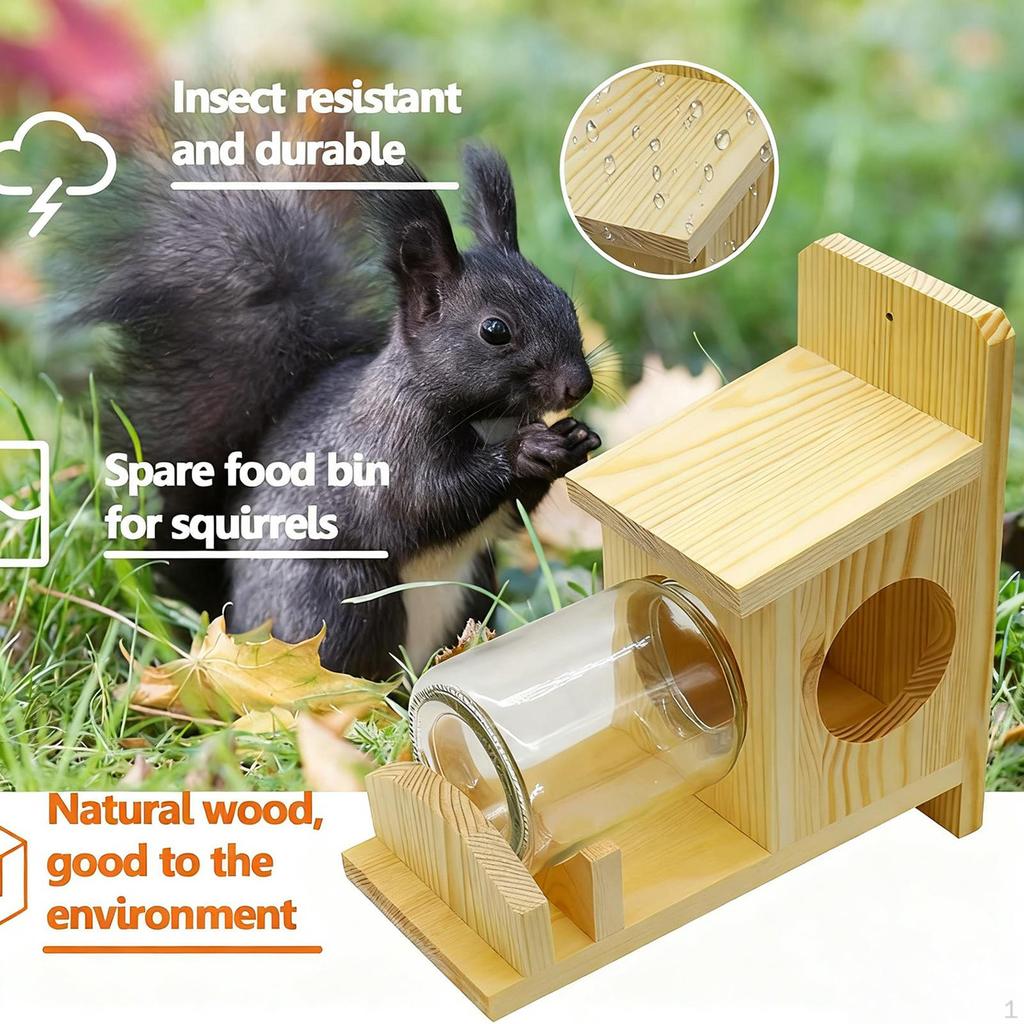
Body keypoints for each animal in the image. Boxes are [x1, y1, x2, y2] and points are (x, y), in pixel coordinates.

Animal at [61, 116, 601, 679]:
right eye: (495, 331)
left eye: (566, 302)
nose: (578, 385)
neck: (489, 417)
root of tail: (234, 632)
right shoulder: (383, 447)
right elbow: (427, 501)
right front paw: (526, 451)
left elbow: (514, 515)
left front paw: (575, 438)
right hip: (342, 600)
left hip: (470, 592)